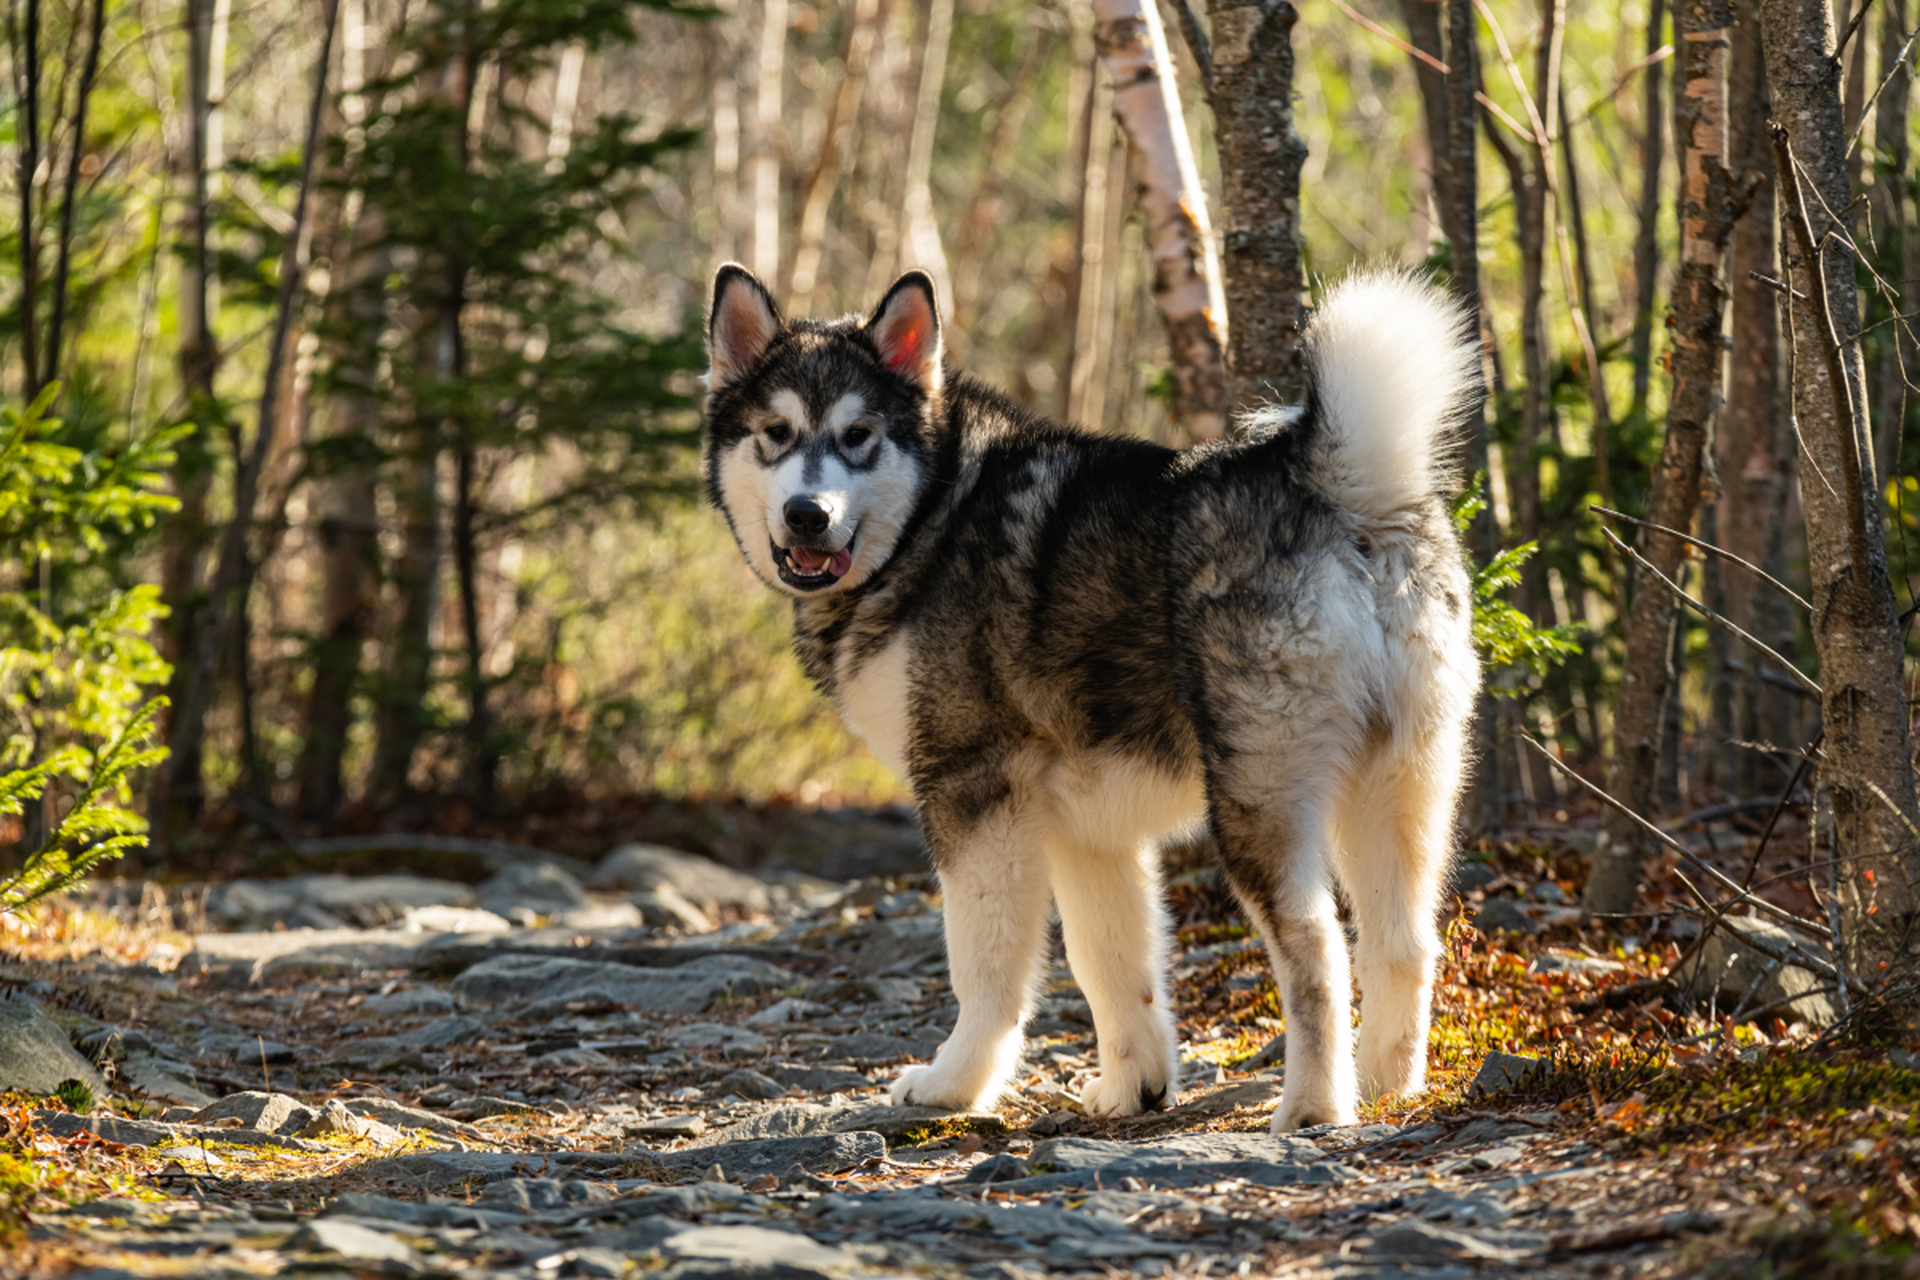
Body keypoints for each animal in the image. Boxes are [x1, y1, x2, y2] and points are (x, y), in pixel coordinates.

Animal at [706, 262, 1482, 1128]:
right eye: (775, 433)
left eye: (857, 436)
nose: (808, 515)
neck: (932, 519)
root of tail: (1335, 483)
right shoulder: (1088, 833)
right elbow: (1111, 967)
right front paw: (1133, 1087)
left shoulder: (976, 800)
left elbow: (987, 969)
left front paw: (954, 1082)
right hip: (1400, 790)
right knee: (1403, 943)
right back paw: (1388, 1088)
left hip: (1259, 799)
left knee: (1317, 949)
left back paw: (1314, 1107)